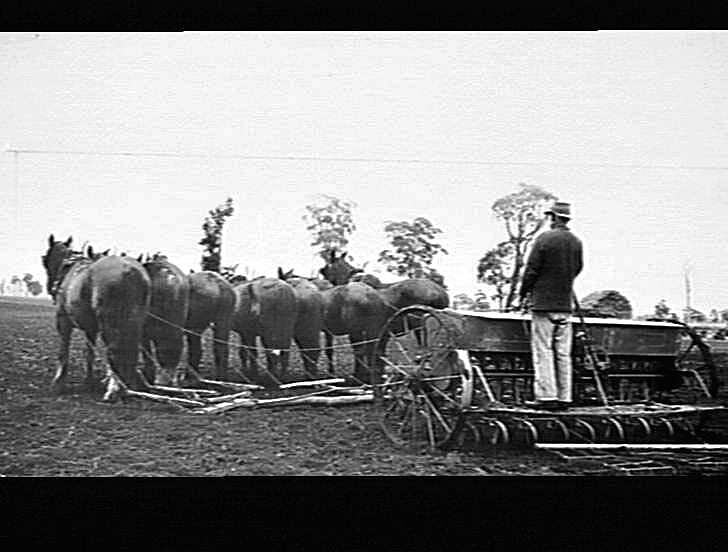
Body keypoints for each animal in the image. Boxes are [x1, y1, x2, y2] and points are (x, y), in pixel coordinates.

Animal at [40, 235, 151, 398]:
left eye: (45, 260)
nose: (51, 287)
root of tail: (130, 271)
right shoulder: (90, 328)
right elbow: (90, 353)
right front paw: (88, 382)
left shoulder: (63, 321)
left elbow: (63, 351)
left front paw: (58, 383)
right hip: (135, 322)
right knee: (130, 351)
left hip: (110, 323)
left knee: (114, 350)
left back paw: (114, 389)